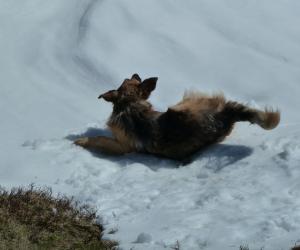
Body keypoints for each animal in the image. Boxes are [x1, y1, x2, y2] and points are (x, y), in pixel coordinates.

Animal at [74, 73, 280, 161]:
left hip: (186, 101)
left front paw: (82, 141)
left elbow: (99, 139)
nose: (135, 75)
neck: (129, 105)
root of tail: (225, 115)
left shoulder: (122, 146)